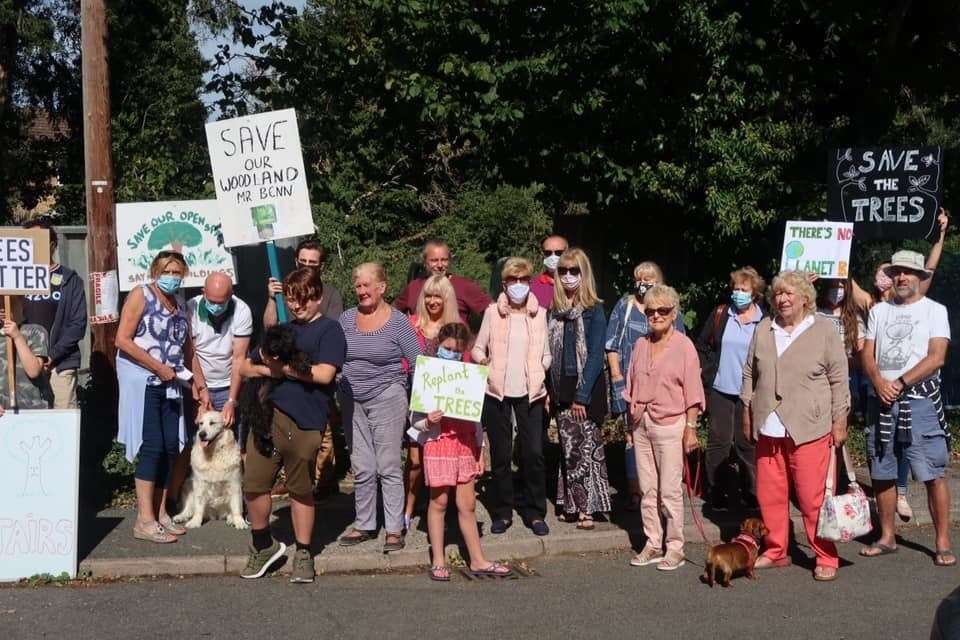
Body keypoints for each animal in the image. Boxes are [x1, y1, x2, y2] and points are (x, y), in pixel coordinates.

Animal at [238, 328, 314, 458]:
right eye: (270, 340)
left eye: (280, 339)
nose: (273, 346)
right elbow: (289, 358)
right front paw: (301, 364)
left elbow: (296, 353)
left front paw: (304, 361)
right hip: (254, 406)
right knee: (257, 424)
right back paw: (265, 438)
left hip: (266, 407)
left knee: (258, 430)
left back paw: (266, 445)